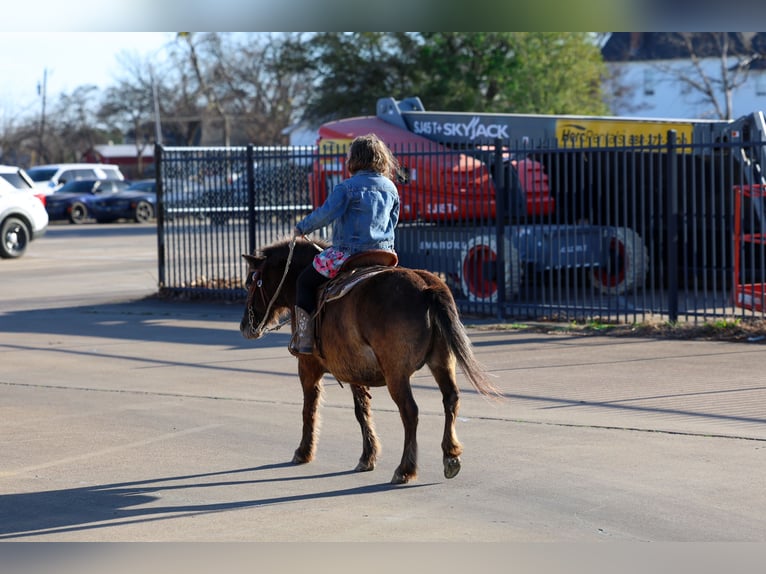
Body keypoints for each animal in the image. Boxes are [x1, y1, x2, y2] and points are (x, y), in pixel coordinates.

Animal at [239, 237, 500, 484]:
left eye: (251, 282)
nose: (245, 326)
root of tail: (427, 287)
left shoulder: (308, 366)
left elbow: (309, 407)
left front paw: (304, 451)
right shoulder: (354, 370)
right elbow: (362, 410)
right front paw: (368, 456)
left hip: (397, 374)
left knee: (410, 412)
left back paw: (405, 469)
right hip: (442, 362)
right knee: (450, 399)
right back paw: (450, 455)